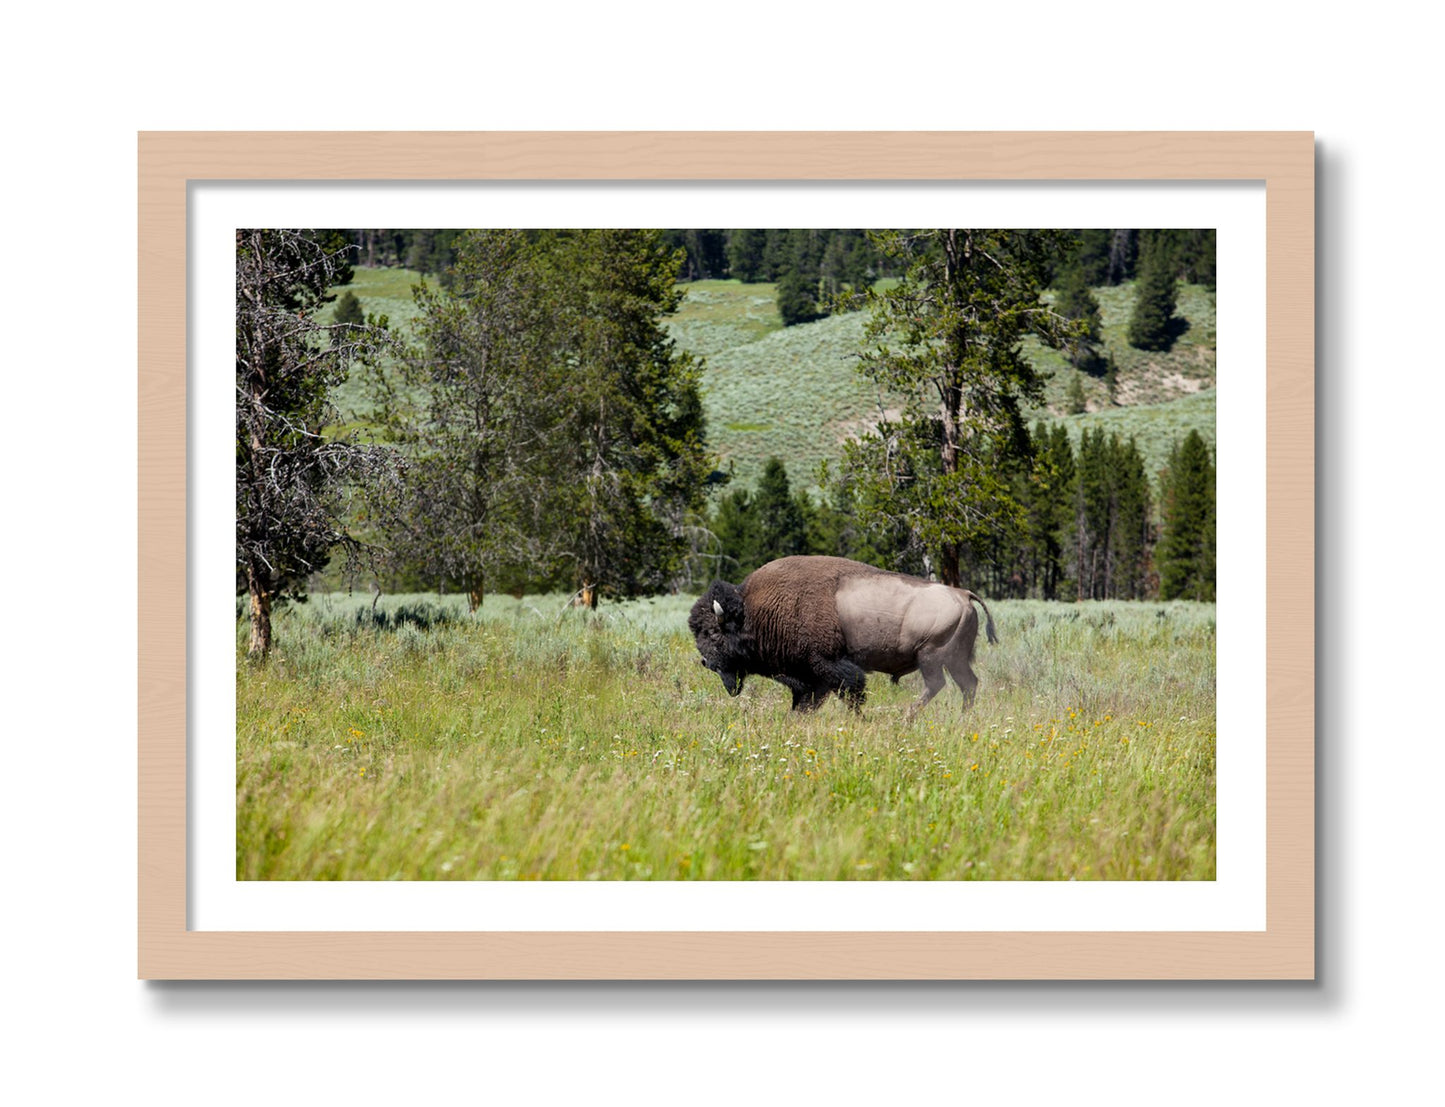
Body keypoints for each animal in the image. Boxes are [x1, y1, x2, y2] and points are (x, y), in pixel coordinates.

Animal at [687, 555, 997, 717]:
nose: (706, 662)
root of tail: (963, 594)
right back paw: (962, 717)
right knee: (968, 684)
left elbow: (851, 692)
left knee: (938, 684)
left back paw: (907, 717)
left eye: (713, 633)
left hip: (931, 656)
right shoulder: (810, 677)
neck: (754, 610)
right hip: (954, 659)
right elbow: (807, 702)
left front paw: (860, 719)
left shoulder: (828, 665)